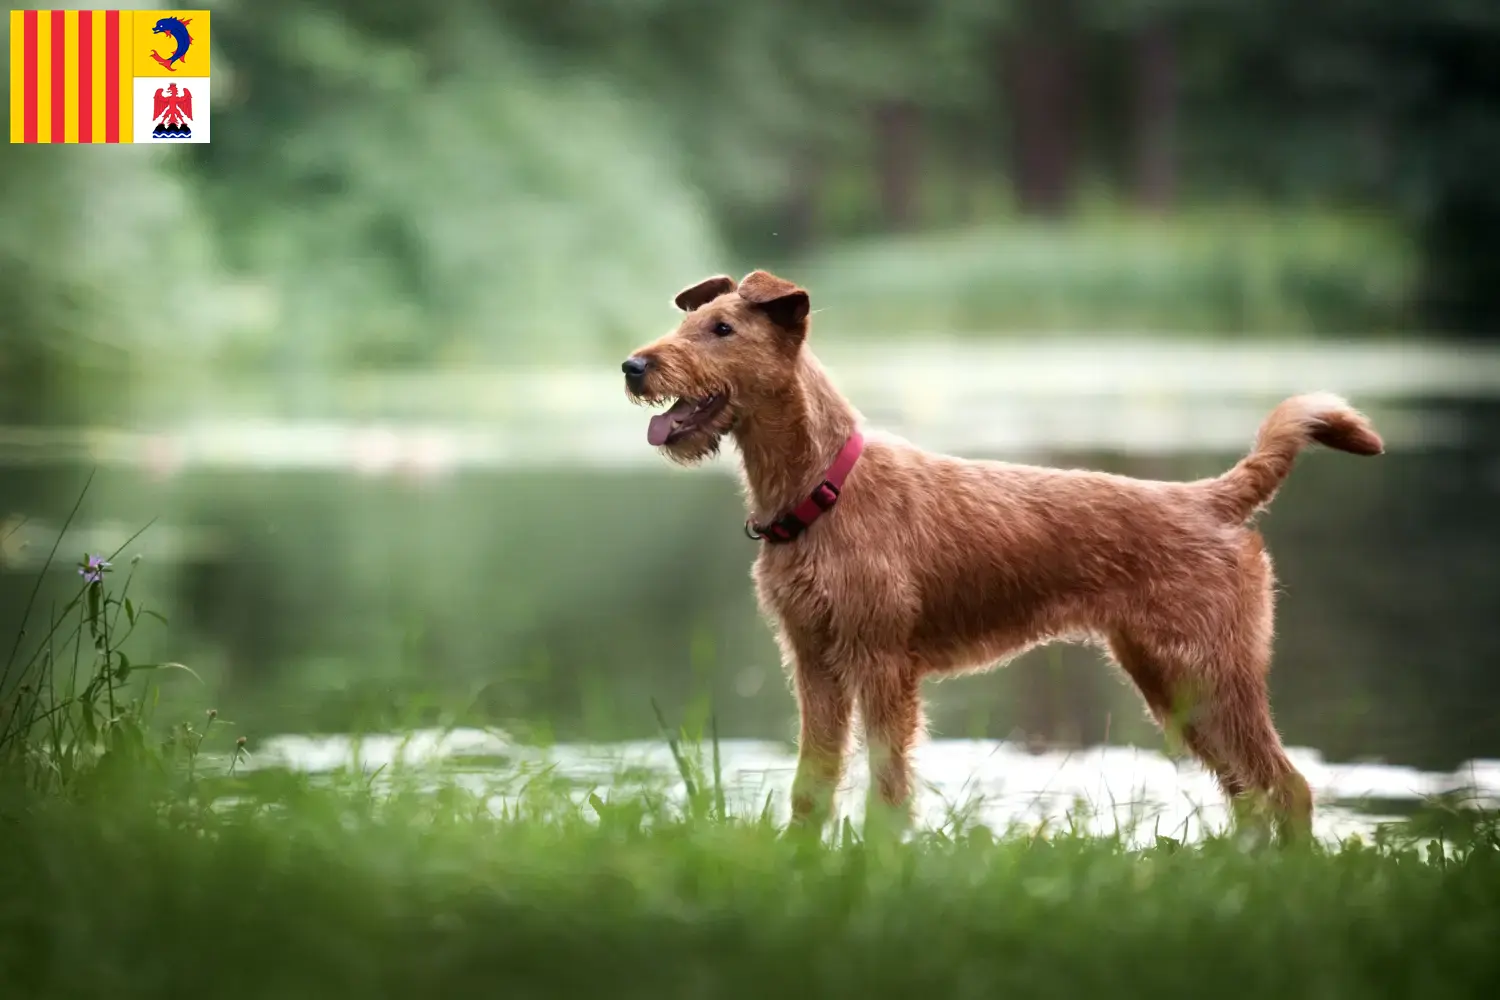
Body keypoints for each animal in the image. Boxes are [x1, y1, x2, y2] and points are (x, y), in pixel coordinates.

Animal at [618, 269, 1380, 839]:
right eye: (688, 322)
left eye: (722, 329)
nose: (633, 365)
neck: (819, 488)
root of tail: (1210, 499)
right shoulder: (815, 665)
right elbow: (814, 782)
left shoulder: (882, 664)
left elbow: (888, 785)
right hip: (1175, 685)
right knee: (1251, 793)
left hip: (1213, 674)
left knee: (1289, 787)